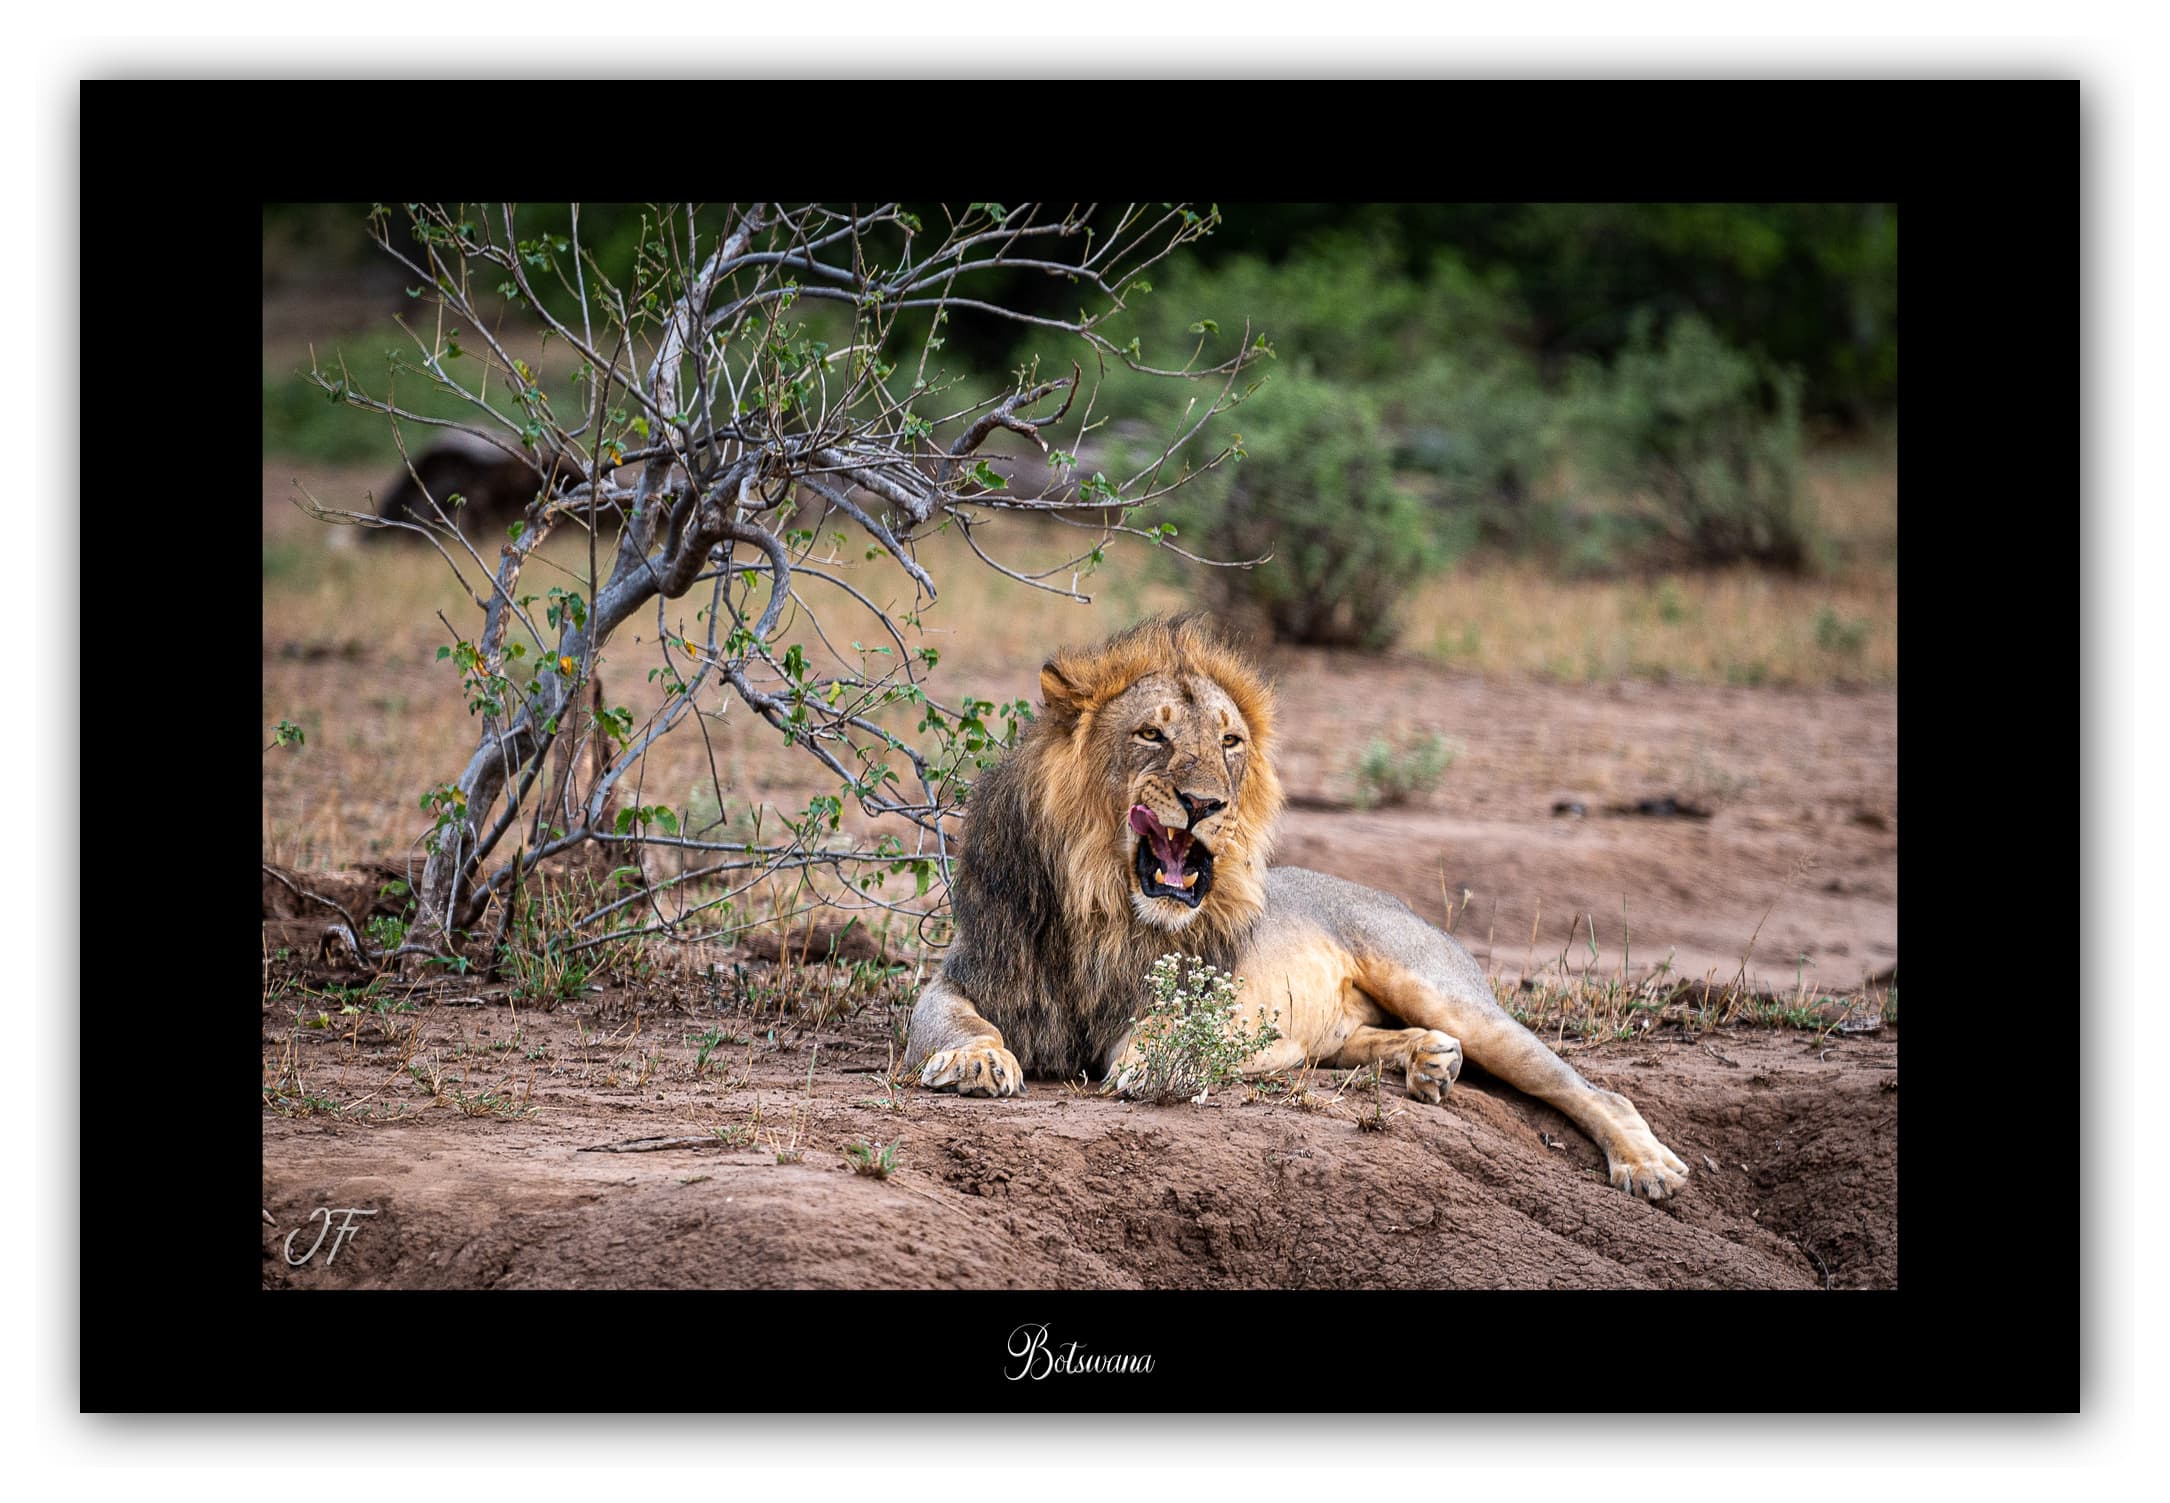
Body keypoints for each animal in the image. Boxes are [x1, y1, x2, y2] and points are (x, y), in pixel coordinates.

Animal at [906, 614, 1690, 1199]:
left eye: (1230, 742)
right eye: (1151, 734)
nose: (1205, 804)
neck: (1102, 905)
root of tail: (1393, 897)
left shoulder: (1201, 994)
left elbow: (1162, 1029)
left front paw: (1154, 1062)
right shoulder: (969, 972)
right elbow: (950, 1018)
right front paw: (977, 1061)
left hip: (1444, 990)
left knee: (1592, 1088)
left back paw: (1646, 1166)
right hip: (1353, 1028)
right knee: (1359, 1041)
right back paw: (1428, 1061)